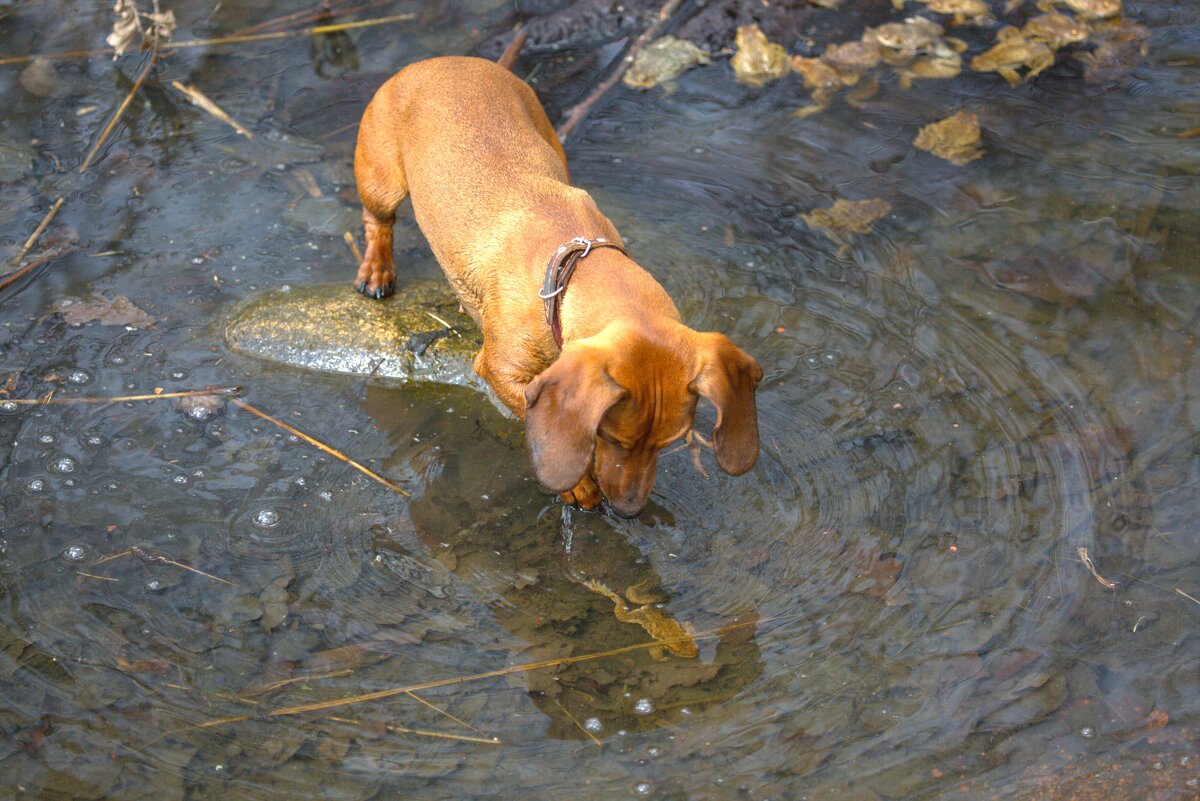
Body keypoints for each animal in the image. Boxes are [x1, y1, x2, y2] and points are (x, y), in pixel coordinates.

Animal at [350, 57, 758, 520]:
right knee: (377, 222)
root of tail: (438, 62)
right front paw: (579, 485)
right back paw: (376, 270)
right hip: (381, 183)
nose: (629, 511)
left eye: (668, 443)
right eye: (611, 438)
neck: (569, 266)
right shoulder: (501, 372)